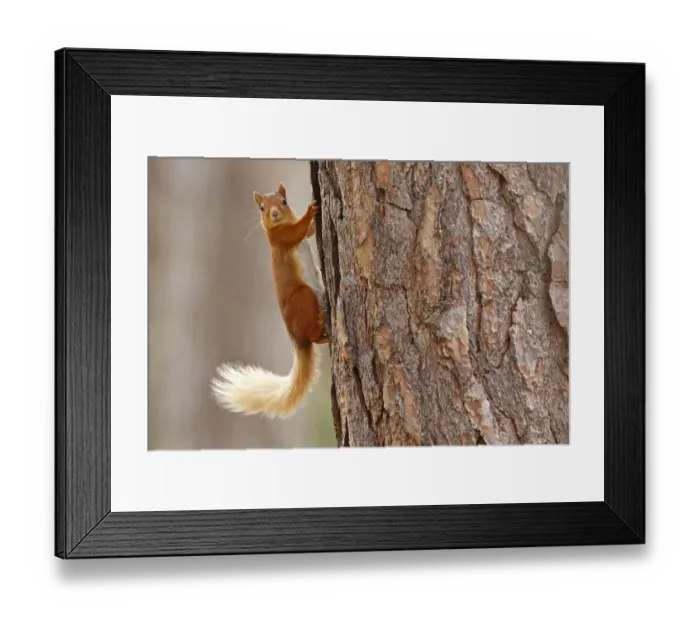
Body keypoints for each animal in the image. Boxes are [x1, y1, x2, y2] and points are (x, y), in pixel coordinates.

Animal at [210, 183, 328, 418]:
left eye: (283, 201)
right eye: (262, 208)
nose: (274, 213)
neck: (279, 225)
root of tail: (297, 341)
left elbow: (308, 231)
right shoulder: (281, 238)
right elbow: (297, 231)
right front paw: (309, 211)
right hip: (304, 297)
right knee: (312, 335)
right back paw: (321, 321)